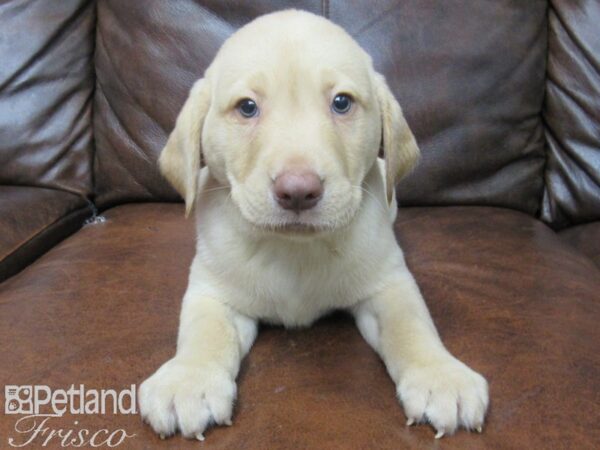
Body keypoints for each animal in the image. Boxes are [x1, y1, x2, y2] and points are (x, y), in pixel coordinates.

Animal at [139, 8, 488, 442]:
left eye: (341, 103)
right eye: (247, 107)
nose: (298, 191)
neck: (295, 250)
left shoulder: (388, 283)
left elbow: (411, 326)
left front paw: (440, 375)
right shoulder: (211, 290)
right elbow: (205, 331)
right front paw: (188, 380)